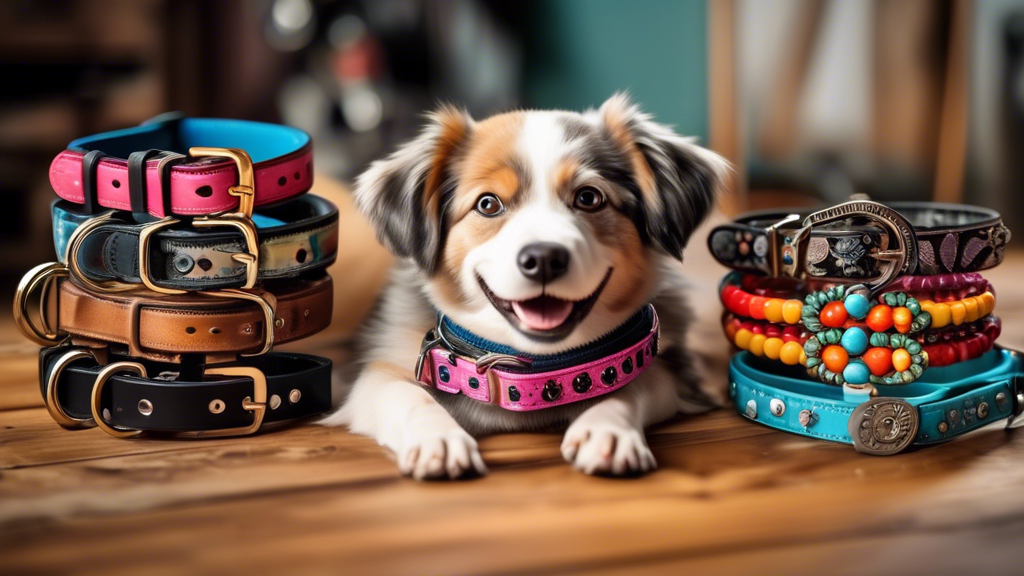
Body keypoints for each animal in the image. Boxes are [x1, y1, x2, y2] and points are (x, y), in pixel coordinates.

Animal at [319, 94, 729, 477]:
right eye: (488, 204)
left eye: (589, 197)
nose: (544, 258)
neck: (534, 368)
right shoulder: (378, 373)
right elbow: (403, 394)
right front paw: (438, 438)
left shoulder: (673, 370)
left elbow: (633, 381)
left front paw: (607, 430)